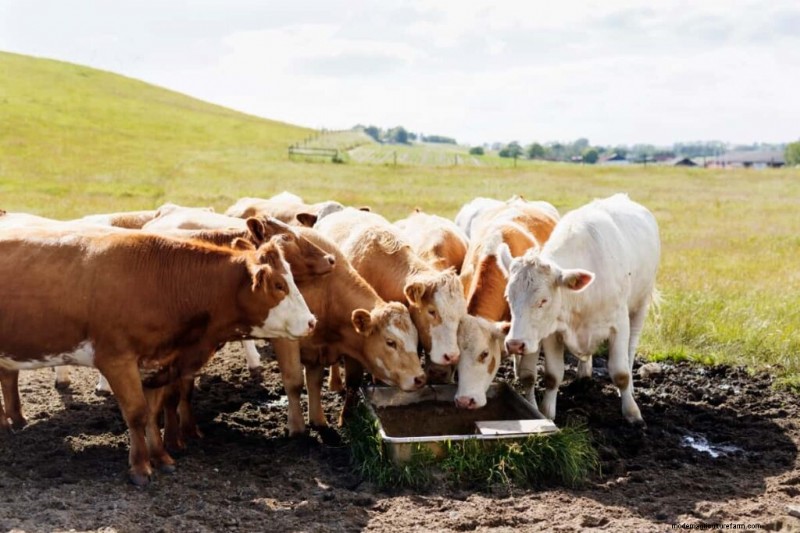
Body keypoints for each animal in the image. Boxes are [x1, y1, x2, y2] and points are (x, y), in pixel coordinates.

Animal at [0, 227, 316, 485]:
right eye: (279, 286)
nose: (312, 322)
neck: (161, 286)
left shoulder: (158, 364)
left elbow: (153, 413)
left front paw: (161, 457)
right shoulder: (117, 360)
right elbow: (137, 413)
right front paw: (140, 467)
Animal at [502, 194, 660, 425]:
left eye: (543, 300)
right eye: (509, 297)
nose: (514, 344)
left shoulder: (619, 324)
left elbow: (621, 373)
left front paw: (632, 413)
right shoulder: (553, 331)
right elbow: (553, 376)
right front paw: (547, 414)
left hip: (640, 305)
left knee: (630, 352)